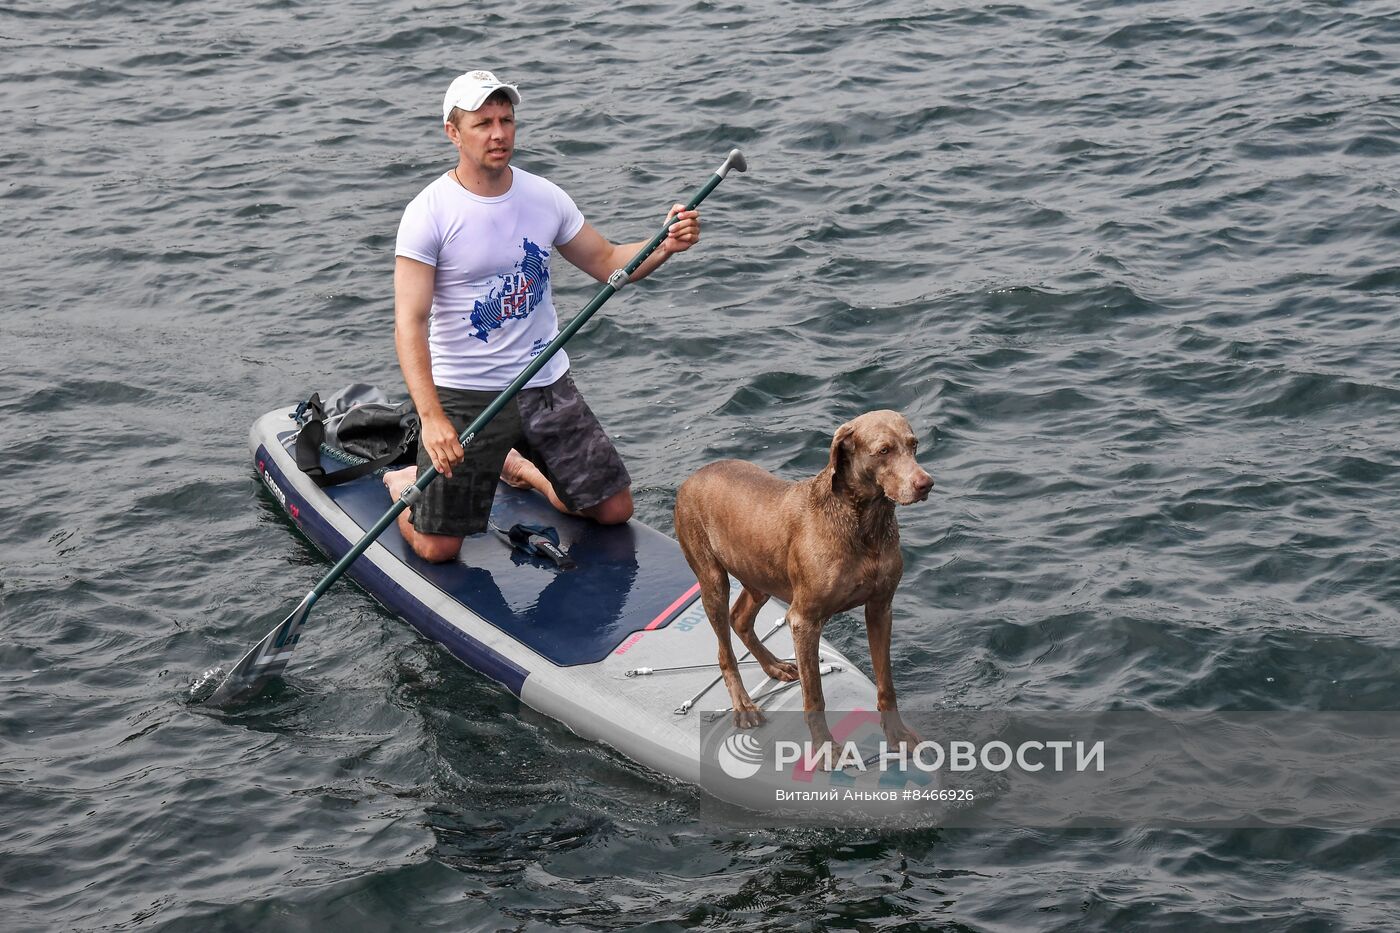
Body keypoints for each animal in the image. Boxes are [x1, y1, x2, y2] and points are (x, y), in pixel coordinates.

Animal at [674, 411, 935, 762]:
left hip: (759, 576)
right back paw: (744, 706)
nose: (925, 483)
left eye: (914, 444)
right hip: (713, 580)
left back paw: (775, 666)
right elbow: (814, 696)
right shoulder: (804, 621)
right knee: (724, 650)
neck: (863, 524)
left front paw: (897, 735)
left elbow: (886, 683)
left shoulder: (881, 608)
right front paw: (826, 750)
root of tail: (691, 478)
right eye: (883, 451)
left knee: (739, 618)